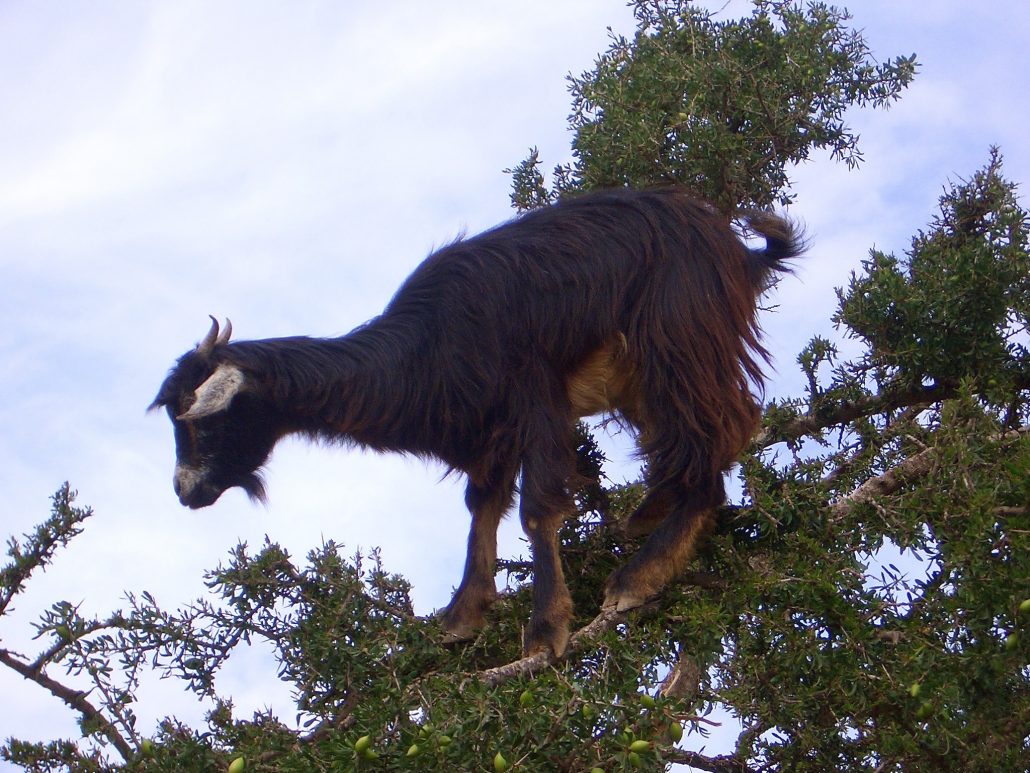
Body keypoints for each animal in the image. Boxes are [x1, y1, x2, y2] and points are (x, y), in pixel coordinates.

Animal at [151, 187, 802, 656]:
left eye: (202, 422)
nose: (184, 491)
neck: (426, 347)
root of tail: (738, 252)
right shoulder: (492, 430)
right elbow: (481, 507)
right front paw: (463, 614)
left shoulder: (535, 400)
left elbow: (537, 510)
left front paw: (545, 630)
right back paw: (648, 516)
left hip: (676, 340)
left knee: (716, 434)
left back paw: (640, 576)